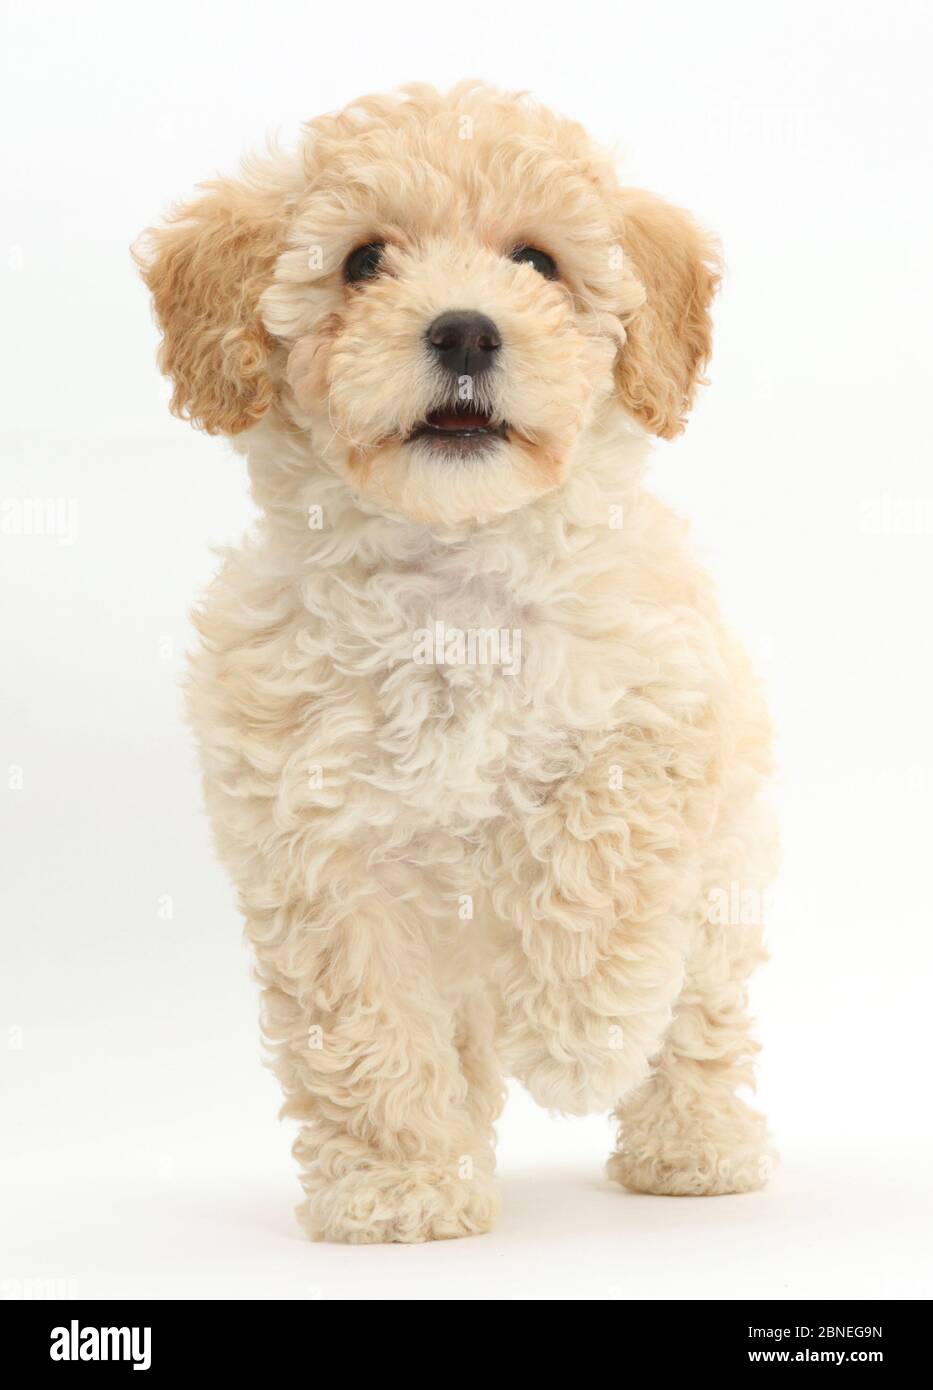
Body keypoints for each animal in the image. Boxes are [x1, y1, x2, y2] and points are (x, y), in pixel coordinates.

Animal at [134, 81, 778, 1245]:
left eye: (537, 262)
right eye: (360, 261)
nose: (467, 327)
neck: (452, 579)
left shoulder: (665, 711)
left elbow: (601, 839)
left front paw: (577, 1038)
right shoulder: (322, 855)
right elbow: (367, 1032)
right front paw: (401, 1187)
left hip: (727, 878)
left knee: (701, 1019)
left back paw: (693, 1147)